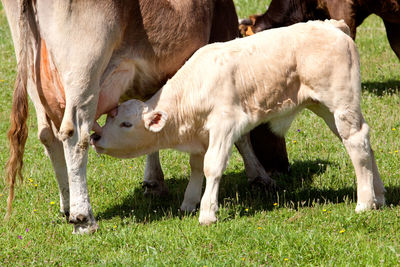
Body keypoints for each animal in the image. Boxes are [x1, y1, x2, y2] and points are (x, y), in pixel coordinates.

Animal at [0, 0, 272, 234]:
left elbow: (151, 115)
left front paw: (153, 181)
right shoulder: (222, 30)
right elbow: (242, 134)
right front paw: (259, 175)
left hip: (32, 71)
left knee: (48, 135)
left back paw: (67, 205)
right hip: (84, 69)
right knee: (75, 134)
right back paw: (83, 217)